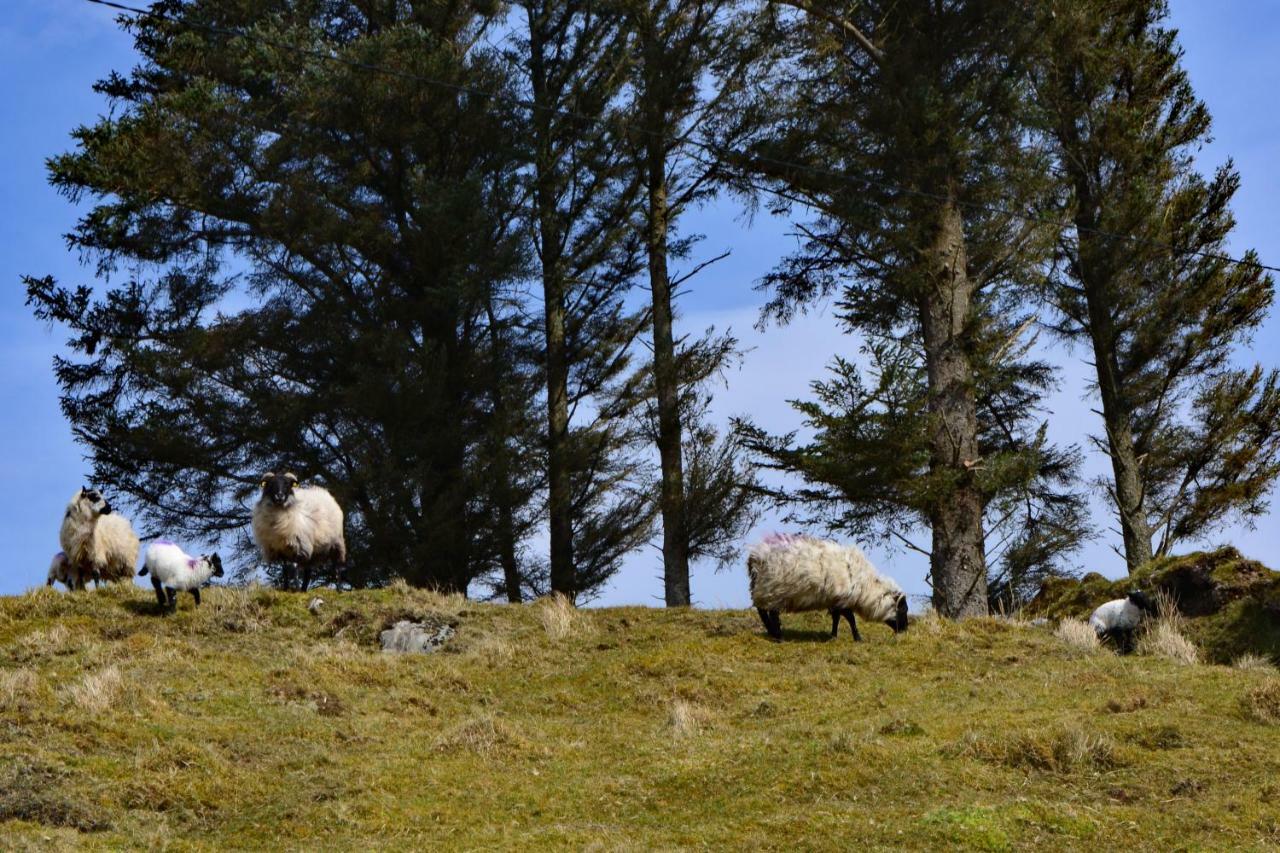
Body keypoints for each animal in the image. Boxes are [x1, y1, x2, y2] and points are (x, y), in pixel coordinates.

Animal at [742, 532, 911, 637]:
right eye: (903, 609)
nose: (905, 629)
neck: (865, 586)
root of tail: (755, 558)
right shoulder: (843, 598)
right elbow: (850, 619)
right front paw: (857, 637)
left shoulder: (835, 600)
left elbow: (836, 618)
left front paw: (833, 635)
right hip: (772, 589)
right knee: (769, 613)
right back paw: (777, 635)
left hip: (765, 589)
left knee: (763, 611)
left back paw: (772, 632)